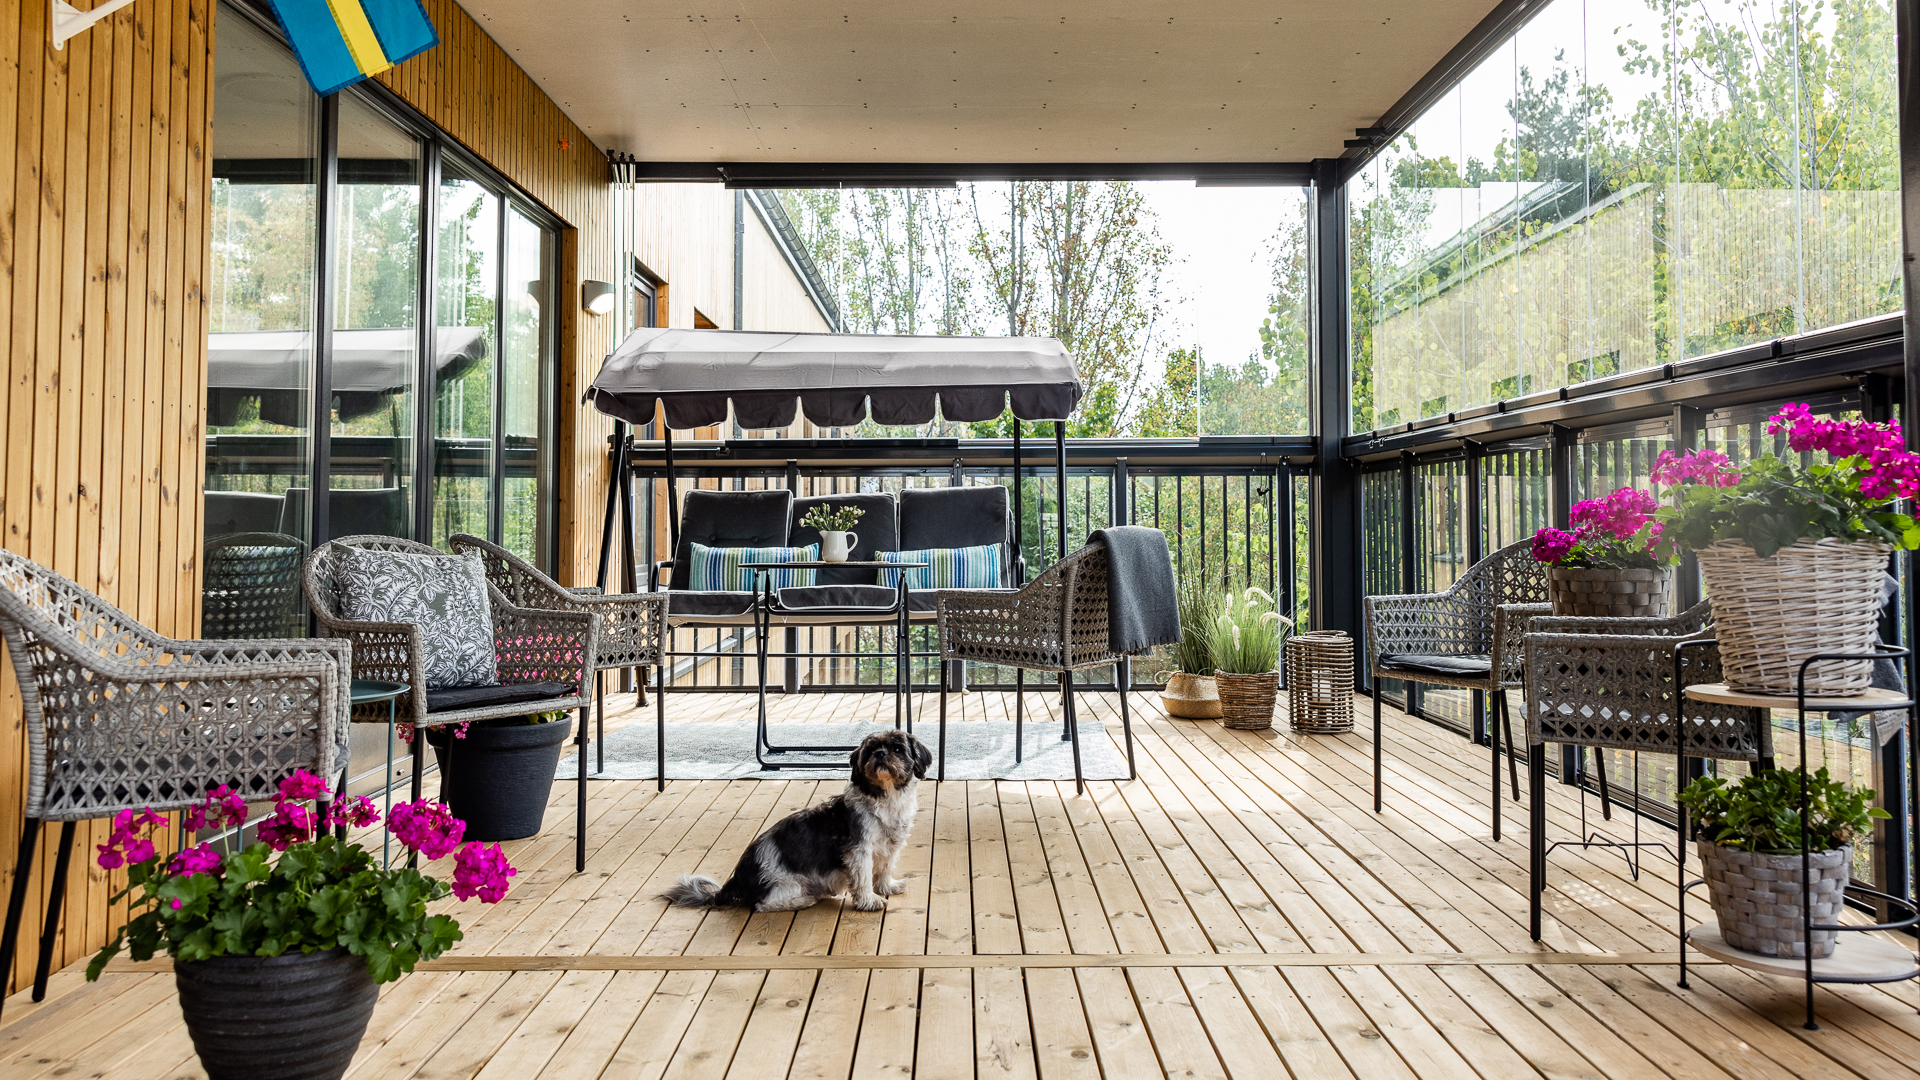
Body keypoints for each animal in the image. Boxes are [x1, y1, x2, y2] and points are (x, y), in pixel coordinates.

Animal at [660, 722, 929, 907]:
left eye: (897, 749)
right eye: (871, 750)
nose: (881, 754)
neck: (885, 798)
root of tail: (736, 880)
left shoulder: (890, 845)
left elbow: (884, 868)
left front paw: (887, 887)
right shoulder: (859, 851)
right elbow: (863, 878)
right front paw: (869, 901)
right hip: (787, 884)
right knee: (763, 904)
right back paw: (805, 900)